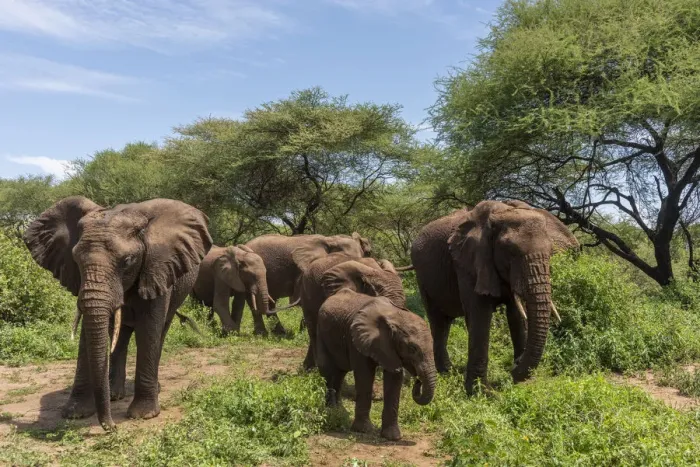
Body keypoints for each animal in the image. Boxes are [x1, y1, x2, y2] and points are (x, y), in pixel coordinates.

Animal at [23, 196, 212, 431]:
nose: (111, 427)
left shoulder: (157, 269)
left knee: (159, 332)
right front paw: (75, 413)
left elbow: (149, 329)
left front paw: (143, 415)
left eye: (128, 261)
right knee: (120, 337)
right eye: (75, 259)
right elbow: (88, 334)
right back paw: (114, 395)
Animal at [317, 288, 436, 441]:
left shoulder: (391, 348)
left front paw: (392, 437)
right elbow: (365, 374)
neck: (395, 316)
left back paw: (338, 411)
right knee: (328, 371)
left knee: (340, 373)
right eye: (412, 348)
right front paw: (364, 430)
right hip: (320, 332)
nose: (418, 381)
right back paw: (331, 411)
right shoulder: (357, 339)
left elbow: (394, 379)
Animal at [410, 200, 578, 393]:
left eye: (551, 253)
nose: (513, 369)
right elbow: (480, 315)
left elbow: (515, 314)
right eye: (511, 252)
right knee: (438, 322)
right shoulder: (469, 262)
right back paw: (446, 373)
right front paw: (482, 393)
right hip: (422, 277)